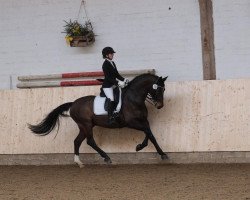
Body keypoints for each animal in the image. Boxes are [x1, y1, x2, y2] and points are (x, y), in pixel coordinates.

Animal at [29, 73, 169, 167]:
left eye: (164, 89)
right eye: (158, 88)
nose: (159, 106)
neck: (133, 99)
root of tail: (73, 103)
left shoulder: (143, 120)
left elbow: (149, 134)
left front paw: (142, 147)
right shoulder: (131, 123)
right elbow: (148, 132)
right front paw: (160, 154)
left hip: (84, 126)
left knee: (77, 141)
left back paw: (79, 163)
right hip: (86, 124)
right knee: (90, 141)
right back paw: (106, 157)